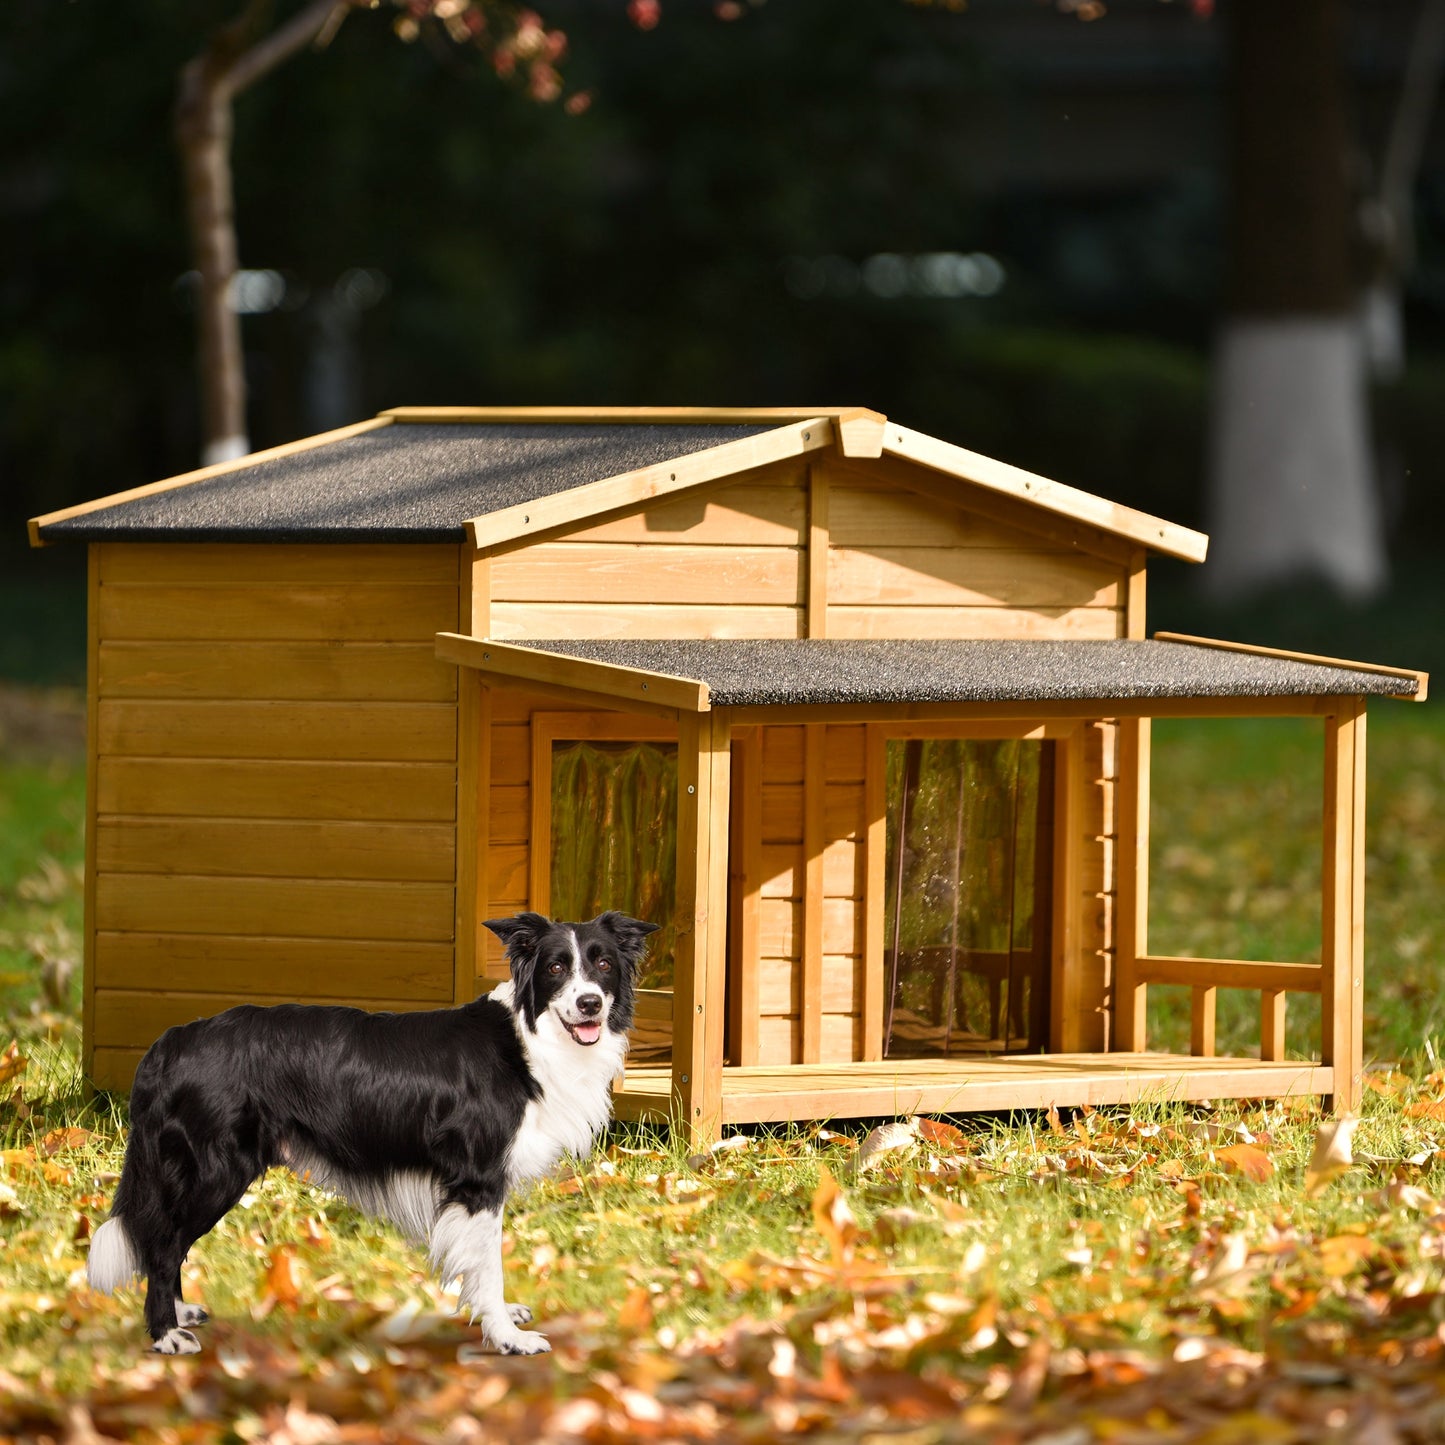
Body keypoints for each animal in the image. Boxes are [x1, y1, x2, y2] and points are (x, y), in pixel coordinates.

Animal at [84, 907, 661, 1358]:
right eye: (556, 968)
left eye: (604, 965)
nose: (590, 1004)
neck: (530, 1039)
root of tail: (173, 1040)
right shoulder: (478, 1181)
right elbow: (487, 1264)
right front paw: (505, 1337)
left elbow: (479, 1266)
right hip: (216, 1170)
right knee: (161, 1245)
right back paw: (165, 1334)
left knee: (168, 1241)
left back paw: (180, 1313)